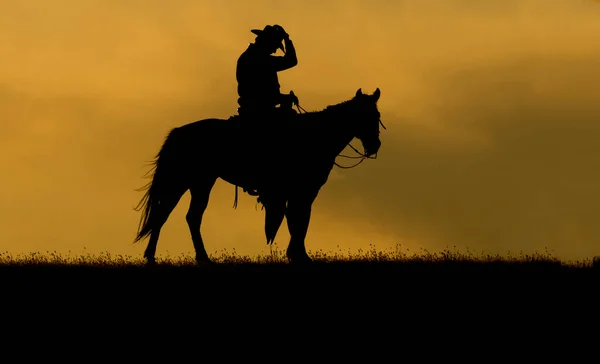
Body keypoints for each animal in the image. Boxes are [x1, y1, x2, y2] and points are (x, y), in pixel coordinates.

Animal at [132, 88, 384, 264]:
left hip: (199, 182)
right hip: (185, 181)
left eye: (377, 115)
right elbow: (299, 220)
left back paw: (187, 257)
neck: (316, 135)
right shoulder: (304, 190)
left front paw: (296, 254)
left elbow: (297, 220)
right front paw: (299, 255)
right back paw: (167, 257)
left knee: (182, 215)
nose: (374, 145)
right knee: (170, 215)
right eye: (364, 116)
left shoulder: (299, 192)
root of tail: (178, 132)